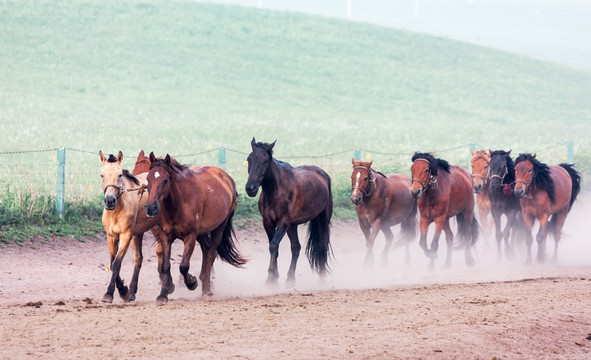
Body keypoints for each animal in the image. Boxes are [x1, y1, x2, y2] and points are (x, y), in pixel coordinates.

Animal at [97, 150, 154, 302]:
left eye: (120, 174)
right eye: (102, 175)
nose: (110, 201)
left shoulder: (126, 235)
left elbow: (117, 263)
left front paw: (110, 293)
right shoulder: (111, 236)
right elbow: (112, 262)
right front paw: (124, 290)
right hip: (138, 234)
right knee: (138, 258)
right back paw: (132, 292)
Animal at [145, 152, 246, 304]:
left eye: (165, 180)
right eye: (148, 178)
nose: (151, 208)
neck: (177, 203)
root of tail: (227, 179)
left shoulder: (190, 236)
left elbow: (183, 266)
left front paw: (192, 282)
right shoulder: (165, 236)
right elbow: (165, 266)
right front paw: (163, 294)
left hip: (219, 228)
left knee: (210, 254)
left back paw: (206, 290)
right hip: (202, 233)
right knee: (206, 249)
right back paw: (204, 280)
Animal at [244, 139, 332, 286]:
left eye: (265, 160)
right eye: (249, 159)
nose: (251, 188)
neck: (276, 191)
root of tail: (322, 174)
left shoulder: (283, 222)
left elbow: (274, 245)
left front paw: (270, 278)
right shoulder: (268, 223)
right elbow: (274, 247)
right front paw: (274, 277)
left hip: (322, 219)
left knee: (322, 246)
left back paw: (322, 279)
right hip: (293, 225)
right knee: (296, 248)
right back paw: (290, 279)